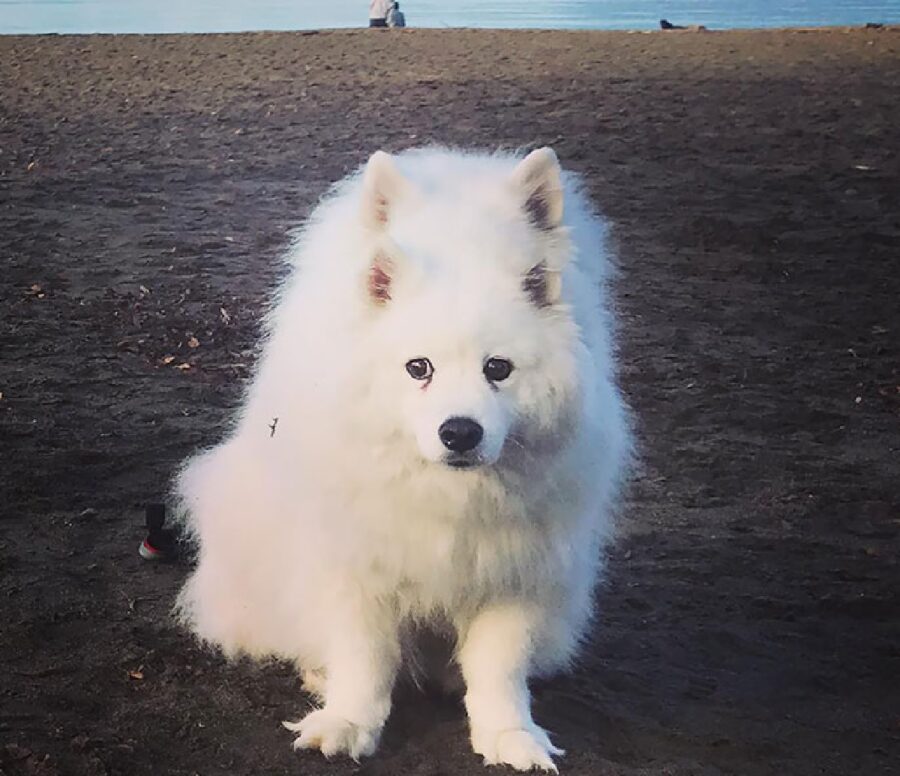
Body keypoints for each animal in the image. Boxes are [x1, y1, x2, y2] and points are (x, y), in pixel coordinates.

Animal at [172, 146, 628, 768]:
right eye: (419, 368)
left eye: (498, 369)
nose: (459, 432)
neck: (449, 493)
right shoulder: (355, 561)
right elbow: (365, 656)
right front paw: (346, 723)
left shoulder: (518, 570)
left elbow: (500, 666)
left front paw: (510, 734)